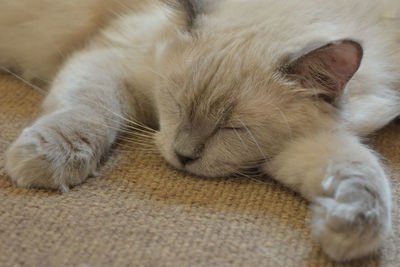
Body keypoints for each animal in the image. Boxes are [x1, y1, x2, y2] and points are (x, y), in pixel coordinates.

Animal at [0, 0, 400, 264]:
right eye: (176, 104)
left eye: (233, 127)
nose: (183, 156)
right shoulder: (113, 56)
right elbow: (87, 109)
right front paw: (47, 161)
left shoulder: (299, 144)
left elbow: (358, 171)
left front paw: (349, 227)